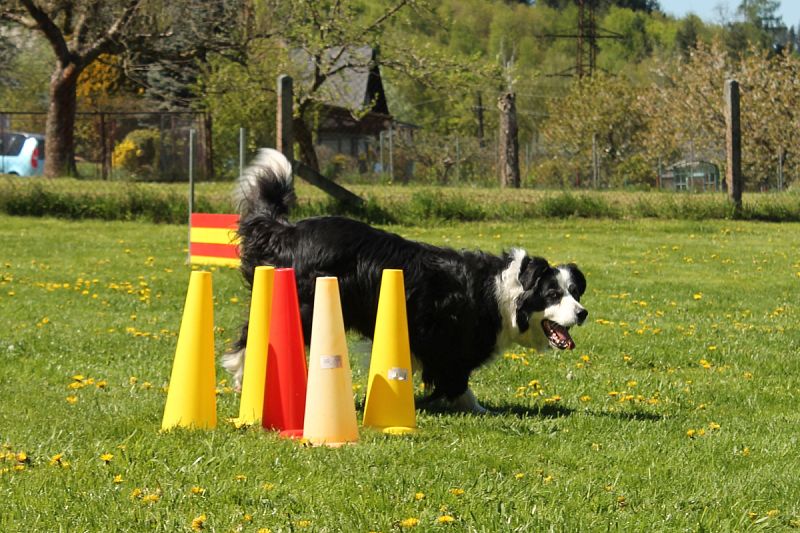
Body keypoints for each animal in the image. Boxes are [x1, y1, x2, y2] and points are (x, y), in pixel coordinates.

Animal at [223, 149, 588, 412]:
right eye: (553, 294)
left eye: (575, 292)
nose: (583, 313)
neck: (504, 292)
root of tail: (289, 231)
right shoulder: (450, 343)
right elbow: (456, 380)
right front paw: (476, 408)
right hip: (305, 307)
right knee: (251, 336)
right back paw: (243, 374)